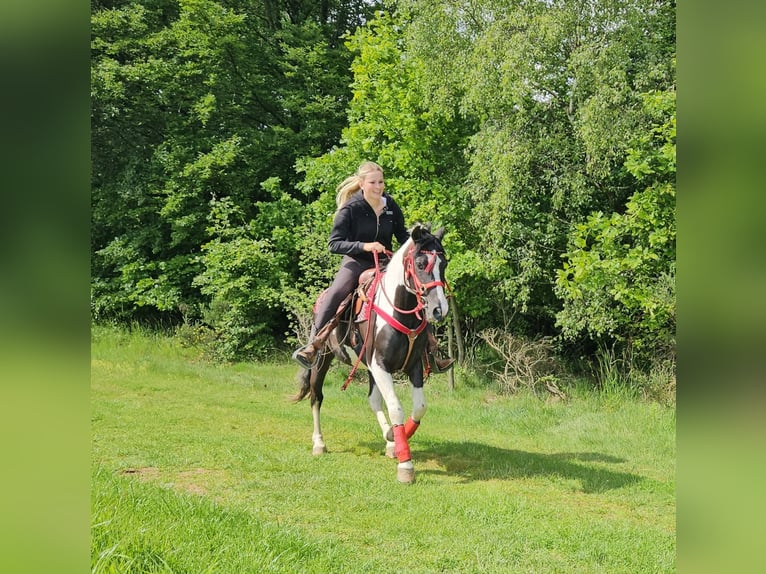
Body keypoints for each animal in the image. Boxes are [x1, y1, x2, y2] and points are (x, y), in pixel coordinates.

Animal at [292, 223, 450, 484]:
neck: (399, 311)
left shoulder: (413, 366)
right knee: (316, 396)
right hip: (322, 359)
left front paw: (394, 439)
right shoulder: (380, 365)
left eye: (444, 264)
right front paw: (405, 465)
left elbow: (419, 407)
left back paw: (390, 443)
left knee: (374, 400)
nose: (440, 310)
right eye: (420, 264)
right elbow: (396, 407)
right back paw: (319, 443)